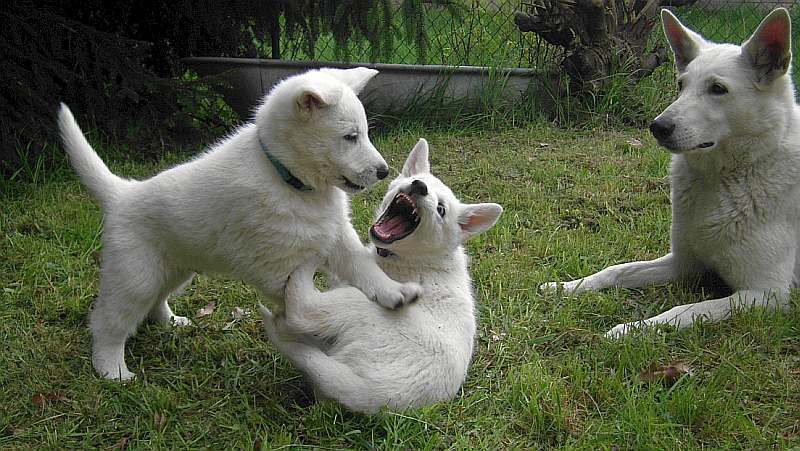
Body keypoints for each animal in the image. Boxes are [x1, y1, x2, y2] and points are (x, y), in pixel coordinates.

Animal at [56, 68, 418, 382]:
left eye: (365, 134)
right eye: (350, 136)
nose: (384, 171)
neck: (289, 180)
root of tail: (122, 193)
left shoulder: (338, 236)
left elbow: (364, 268)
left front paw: (394, 293)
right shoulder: (274, 266)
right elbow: (300, 304)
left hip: (176, 269)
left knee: (156, 300)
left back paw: (171, 322)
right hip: (135, 275)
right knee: (108, 322)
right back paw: (112, 370)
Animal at [260, 139, 500, 414]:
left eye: (441, 209)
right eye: (418, 180)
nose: (419, 186)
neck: (410, 257)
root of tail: (375, 394)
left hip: (359, 304)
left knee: (303, 308)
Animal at [544, 7, 800, 340]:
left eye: (718, 89)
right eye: (681, 85)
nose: (657, 127)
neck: (724, 178)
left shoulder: (765, 294)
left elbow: (687, 310)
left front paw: (631, 329)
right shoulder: (683, 264)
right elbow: (618, 269)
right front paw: (566, 287)